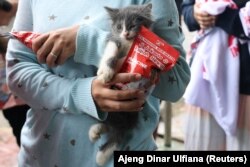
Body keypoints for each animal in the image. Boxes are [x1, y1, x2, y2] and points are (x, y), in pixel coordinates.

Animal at [88, 3, 154, 166]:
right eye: (119, 27)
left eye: (133, 25)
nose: (125, 33)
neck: (130, 44)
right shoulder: (114, 39)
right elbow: (112, 46)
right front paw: (106, 71)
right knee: (109, 123)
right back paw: (96, 131)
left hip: (130, 114)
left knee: (120, 132)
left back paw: (102, 153)